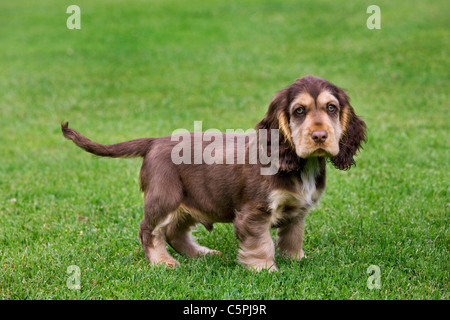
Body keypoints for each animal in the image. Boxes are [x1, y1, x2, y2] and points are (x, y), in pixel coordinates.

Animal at [62, 75, 366, 272]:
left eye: (331, 108)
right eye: (299, 111)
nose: (320, 136)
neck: (300, 164)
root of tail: (154, 141)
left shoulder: (297, 210)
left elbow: (293, 236)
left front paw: (296, 260)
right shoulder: (253, 213)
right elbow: (261, 244)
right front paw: (265, 270)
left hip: (191, 201)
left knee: (174, 232)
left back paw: (201, 254)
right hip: (165, 197)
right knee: (149, 230)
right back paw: (162, 261)